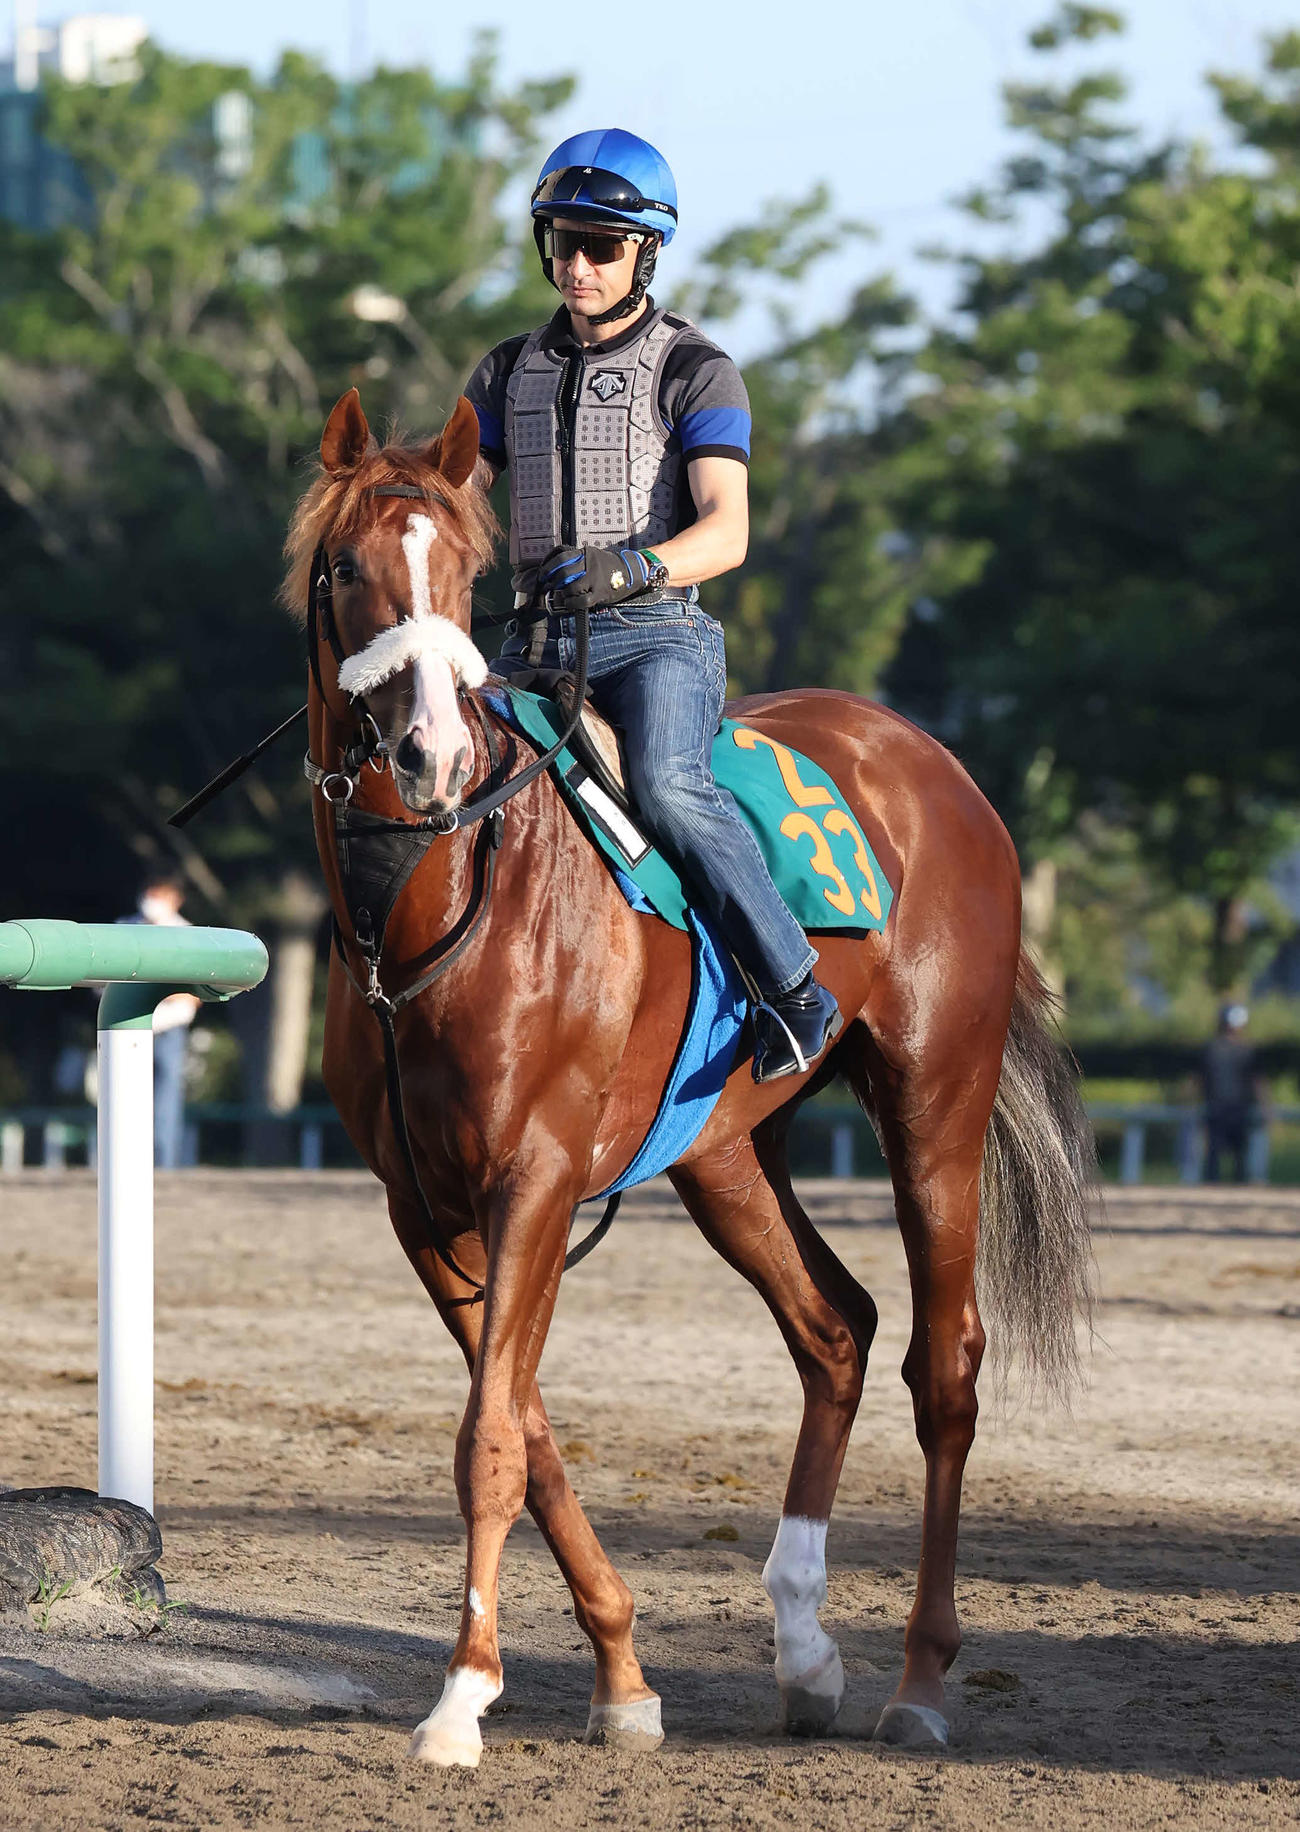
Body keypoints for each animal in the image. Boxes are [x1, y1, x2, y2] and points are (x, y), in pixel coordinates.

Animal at [282, 385, 1094, 1768]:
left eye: (459, 566)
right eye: (345, 568)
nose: (431, 751)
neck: (431, 912)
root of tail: (931, 765)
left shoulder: (537, 1177)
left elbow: (492, 1431)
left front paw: (459, 1694)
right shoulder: (423, 1206)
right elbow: (527, 1425)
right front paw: (617, 1672)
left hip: (934, 1101)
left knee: (944, 1364)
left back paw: (921, 1679)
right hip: (725, 1149)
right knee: (835, 1329)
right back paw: (806, 1649)